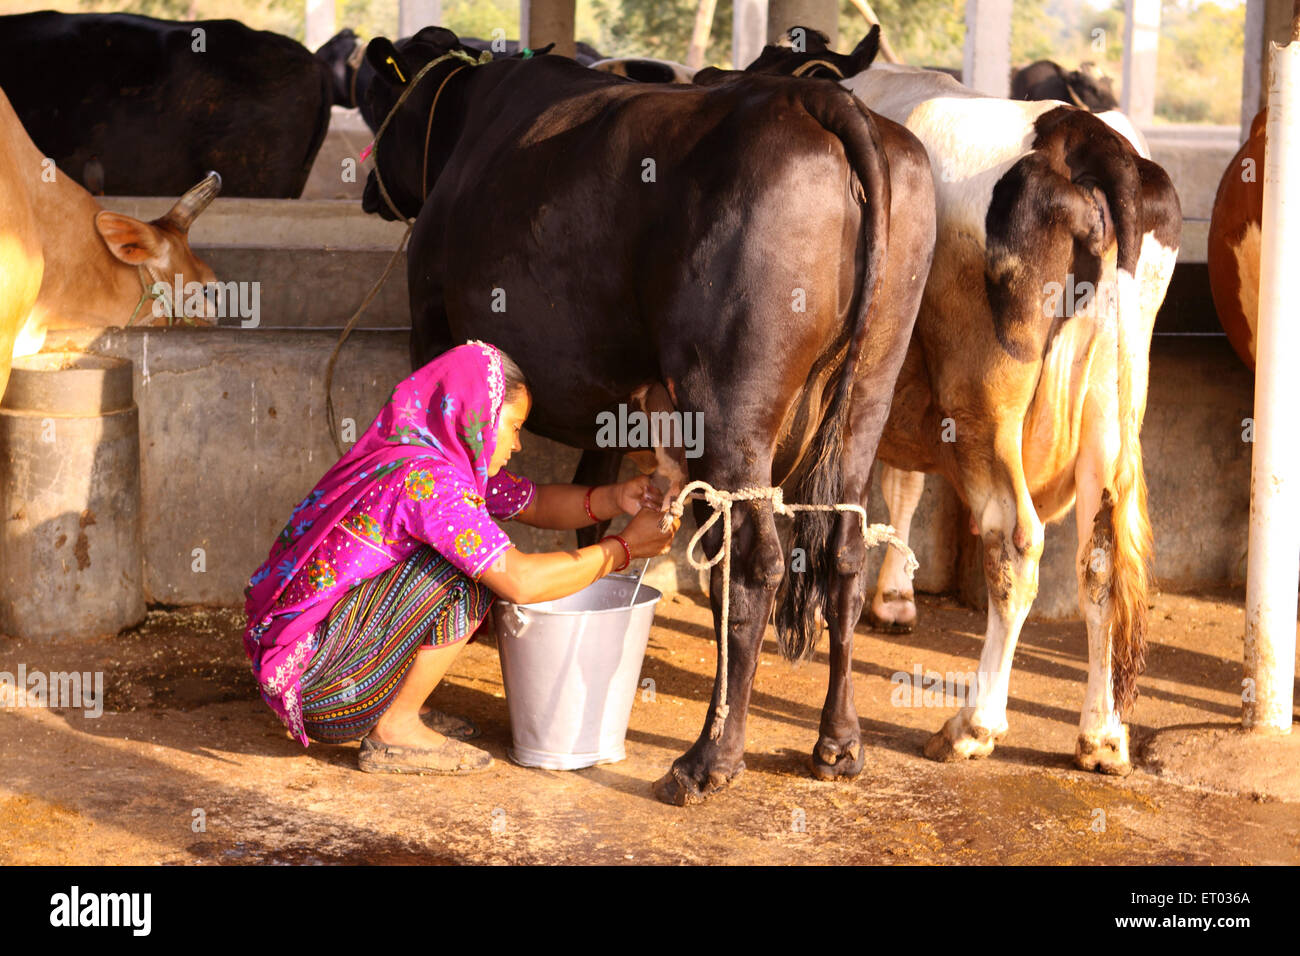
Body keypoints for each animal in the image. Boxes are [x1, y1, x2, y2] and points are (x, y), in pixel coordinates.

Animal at [361, 26, 941, 806]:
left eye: (376, 99)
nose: (369, 189)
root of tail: (816, 99)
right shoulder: (616, 406)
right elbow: (590, 504)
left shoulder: (432, 324)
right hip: (868, 393)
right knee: (843, 549)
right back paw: (839, 742)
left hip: (731, 402)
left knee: (752, 563)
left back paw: (710, 757)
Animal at [743, 29, 1180, 780]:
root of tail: (1085, 137)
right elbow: (900, 484)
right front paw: (893, 598)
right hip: (1112, 400)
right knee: (1099, 552)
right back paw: (1101, 735)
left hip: (982, 407)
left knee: (1016, 539)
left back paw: (974, 725)